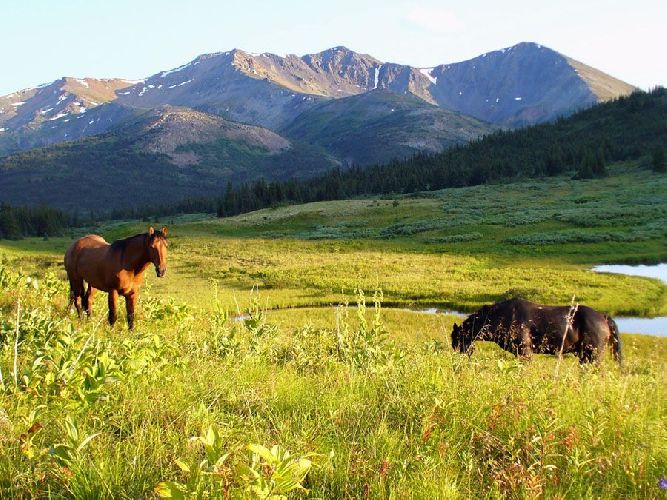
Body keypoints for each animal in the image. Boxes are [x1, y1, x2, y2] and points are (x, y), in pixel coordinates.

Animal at [452, 296, 624, 364]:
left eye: (457, 339)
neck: (500, 316)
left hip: (593, 355)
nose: (457, 358)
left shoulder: (525, 352)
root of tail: (603, 317)